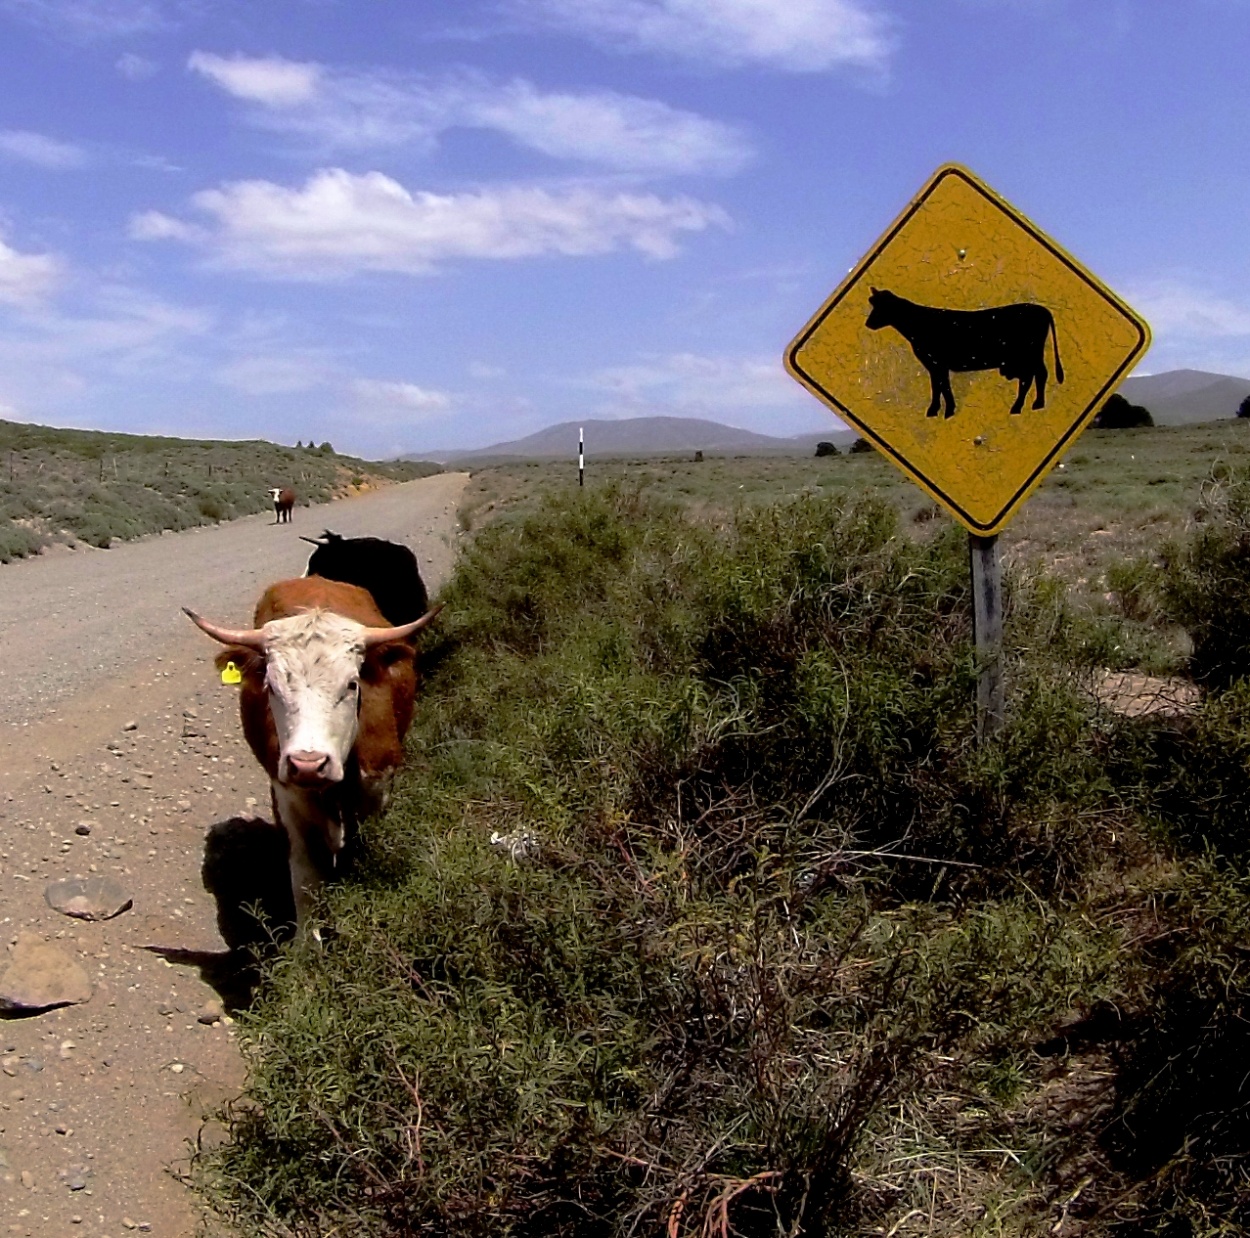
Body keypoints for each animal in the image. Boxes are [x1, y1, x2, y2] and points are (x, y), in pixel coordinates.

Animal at [185, 580, 440, 940]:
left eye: (352, 684)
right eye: (271, 687)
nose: (309, 764)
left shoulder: (377, 787)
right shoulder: (289, 795)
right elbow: (305, 878)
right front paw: (308, 946)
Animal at [870, 290, 1065, 422]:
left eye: (880, 306)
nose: (868, 323)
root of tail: (1042, 309)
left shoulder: (938, 364)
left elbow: (943, 386)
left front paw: (947, 411)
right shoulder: (933, 365)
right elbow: (937, 386)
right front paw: (936, 410)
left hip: (1030, 354)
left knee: (1035, 375)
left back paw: (1025, 406)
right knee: (1034, 376)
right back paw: (1031, 405)